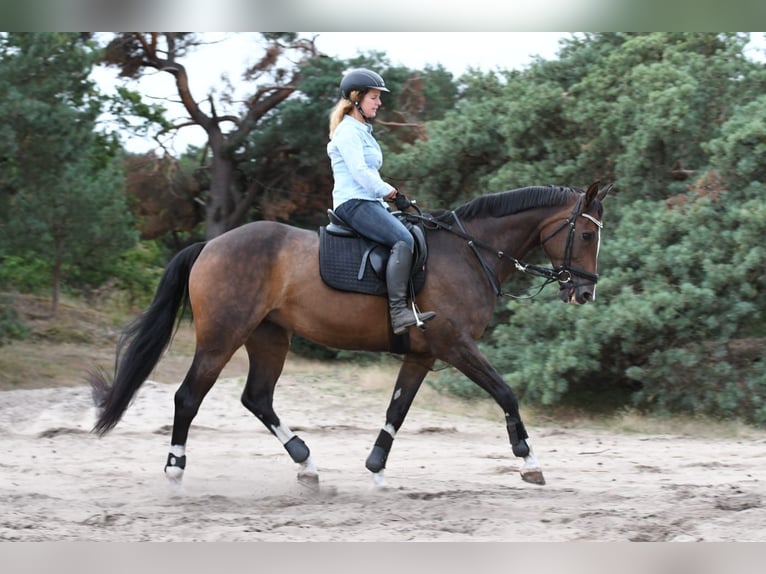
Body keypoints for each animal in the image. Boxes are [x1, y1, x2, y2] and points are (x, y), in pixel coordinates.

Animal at [88, 182, 612, 488]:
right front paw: (529, 462)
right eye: (587, 235)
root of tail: (211, 245)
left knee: (257, 398)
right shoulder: (457, 346)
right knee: (188, 396)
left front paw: (376, 466)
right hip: (222, 338)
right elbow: (506, 393)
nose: (584, 292)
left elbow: (397, 409)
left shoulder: (423, 355)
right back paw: (175, 467)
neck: (467, 252)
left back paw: (305, 462)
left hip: (269, 338)